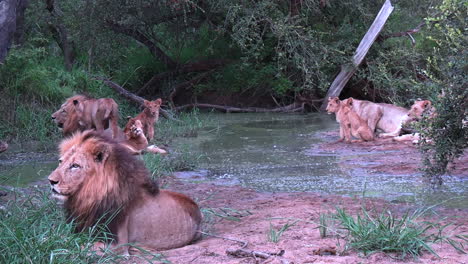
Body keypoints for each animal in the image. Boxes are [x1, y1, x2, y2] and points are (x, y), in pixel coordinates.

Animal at [47, 131, 201, 253]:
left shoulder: (116, 244)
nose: (51, 180)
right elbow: (60, 237)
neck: (86, 199)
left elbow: (76, 246)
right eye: (60, 161)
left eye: (75, 166)